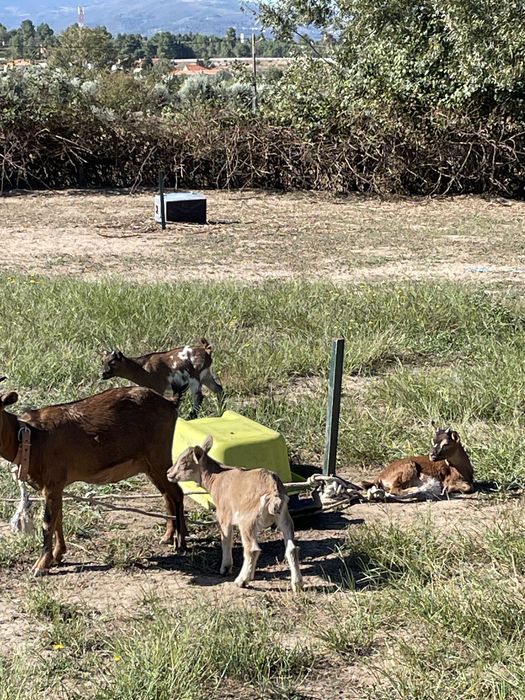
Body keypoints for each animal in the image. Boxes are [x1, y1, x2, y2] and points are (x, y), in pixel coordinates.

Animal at [0, 378, 187, 574]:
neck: (30, 437)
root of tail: (170, 402)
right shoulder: (55, 487)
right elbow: (58, 519)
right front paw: (58, 555)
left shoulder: (52, 483)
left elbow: (48, 523)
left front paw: (40, 565)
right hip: (149, 465)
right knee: (167, 495)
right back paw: (168, 536)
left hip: (159, 456)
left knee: (177, 493)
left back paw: (181, 543)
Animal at [167, 435, 303, 592]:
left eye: (184, 462)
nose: (169, 473)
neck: (216, 478)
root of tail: (273, 492)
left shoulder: (224, 515)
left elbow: (226, 540)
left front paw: (225, 568)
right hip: (284, 517)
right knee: (292, 548)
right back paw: (297, 584)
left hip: (247, 520)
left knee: (252, 549)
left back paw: (241, 581)